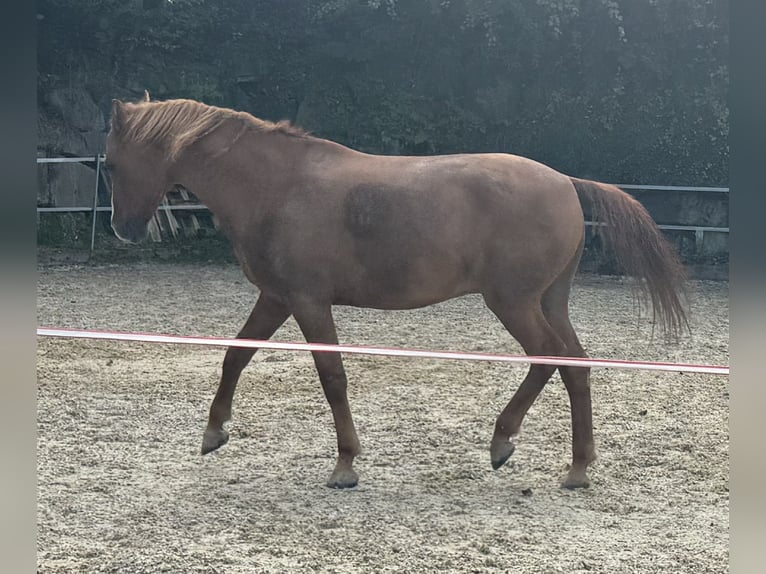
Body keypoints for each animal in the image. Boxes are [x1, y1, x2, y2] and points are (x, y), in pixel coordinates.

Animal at [106, 94, 688, 490]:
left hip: (514, 303)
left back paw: (508, 443)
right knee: (575, 366)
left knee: (550, 358)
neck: (278, 186)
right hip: (548, 301)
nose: (122, 229)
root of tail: (566, 182)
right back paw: (575, 466)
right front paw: (214, 433)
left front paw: (345, 464)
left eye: (110, 163)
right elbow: (236, 355)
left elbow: (333, 377)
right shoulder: (276, 298)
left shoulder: (308, 301)